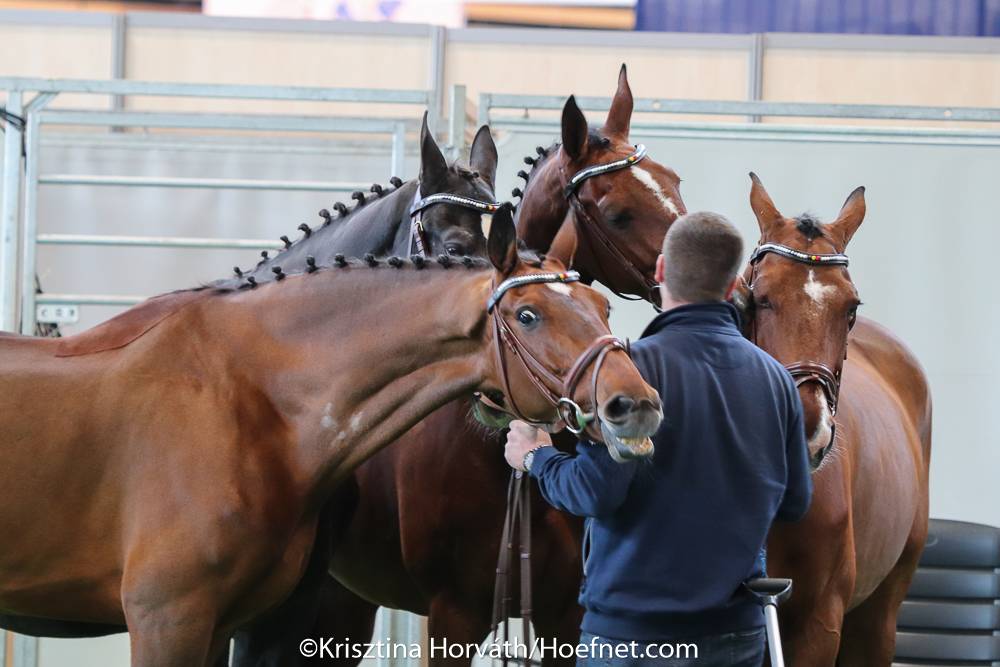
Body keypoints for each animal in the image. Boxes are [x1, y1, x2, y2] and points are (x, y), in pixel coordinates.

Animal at [0, 209, 664, 667]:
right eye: (527, 315)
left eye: (602, 308)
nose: (635, 406)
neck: (245, 398)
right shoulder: (168, 621)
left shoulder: (220, 626)